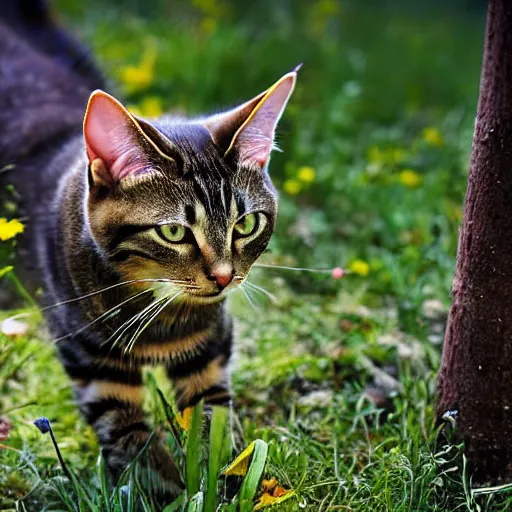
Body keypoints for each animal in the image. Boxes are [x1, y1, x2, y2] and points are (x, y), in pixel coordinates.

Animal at [0, 0, 296, 504]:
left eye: (246, 224)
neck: (162, 313)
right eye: (174, 231)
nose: (223, 277)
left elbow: (214, 419)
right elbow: (129, 434)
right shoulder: (93, 362)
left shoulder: (209, 351)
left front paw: (223, 480)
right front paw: (165, 490)